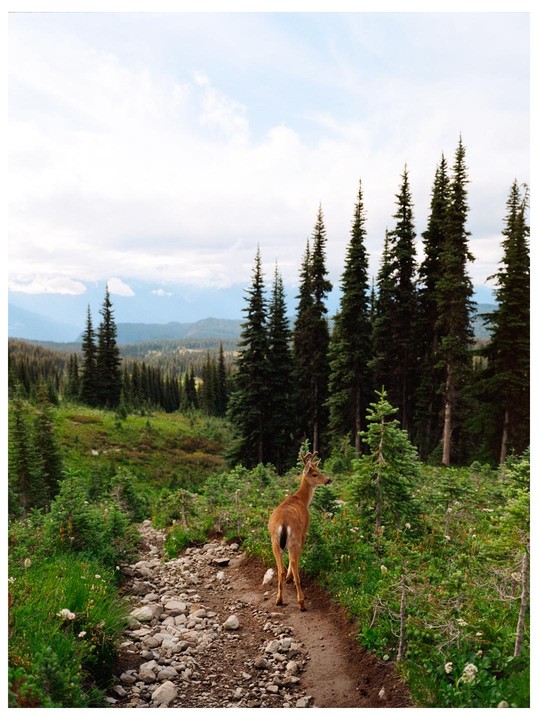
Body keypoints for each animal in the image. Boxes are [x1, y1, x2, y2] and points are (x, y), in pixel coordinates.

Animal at [267, 450, 332, 611]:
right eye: (315, 474)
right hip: (294, 539)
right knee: (294, 563)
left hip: (274, 542)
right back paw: (301, 602)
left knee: (280, 569)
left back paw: (279, 600)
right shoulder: (304, 532)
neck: (301, 499)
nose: (329, 480)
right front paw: (291, 578)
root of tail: (283, 523)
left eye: (319, 470)